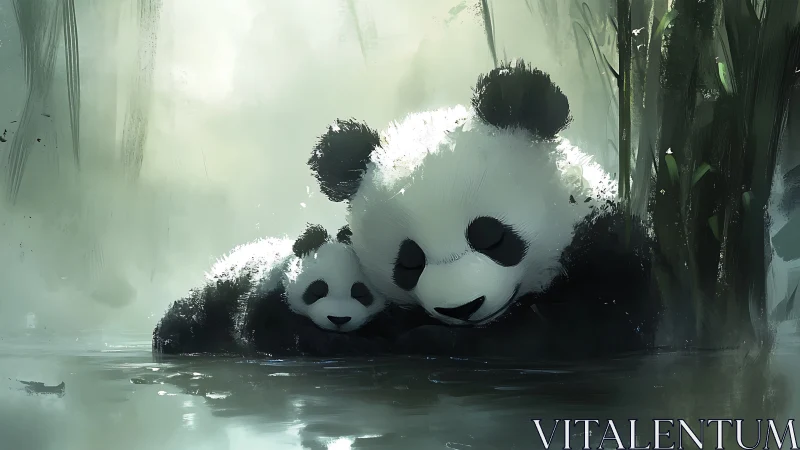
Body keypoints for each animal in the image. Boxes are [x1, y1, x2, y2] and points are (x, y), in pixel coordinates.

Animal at [152, 223, 399, 357]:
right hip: (212, 301)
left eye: (360, 293)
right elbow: (271, 336)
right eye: (317, 290)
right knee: (185, 318)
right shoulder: (265, 294)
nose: (339, 319)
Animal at [306, 60, 661, 359]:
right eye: (409, 262)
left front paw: (430, 340)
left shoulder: (606, 249)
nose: (462, 309)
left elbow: (587, 327)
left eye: (492, 237)